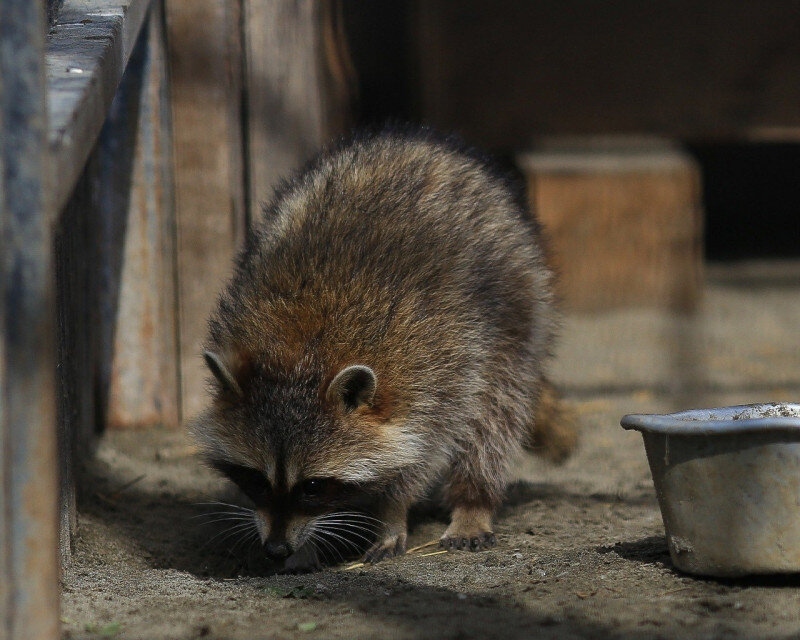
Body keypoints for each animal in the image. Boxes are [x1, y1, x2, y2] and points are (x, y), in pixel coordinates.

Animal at [189, 125, 576, 568]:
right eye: (255, 479)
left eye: (313, 486)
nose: (276, 548)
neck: (302, 352)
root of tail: (420, 144)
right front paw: (309, 545)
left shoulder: (437, 369)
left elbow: (423, 453)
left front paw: (391, 515)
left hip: (517, 304)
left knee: (495, 415)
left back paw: (473, 501)